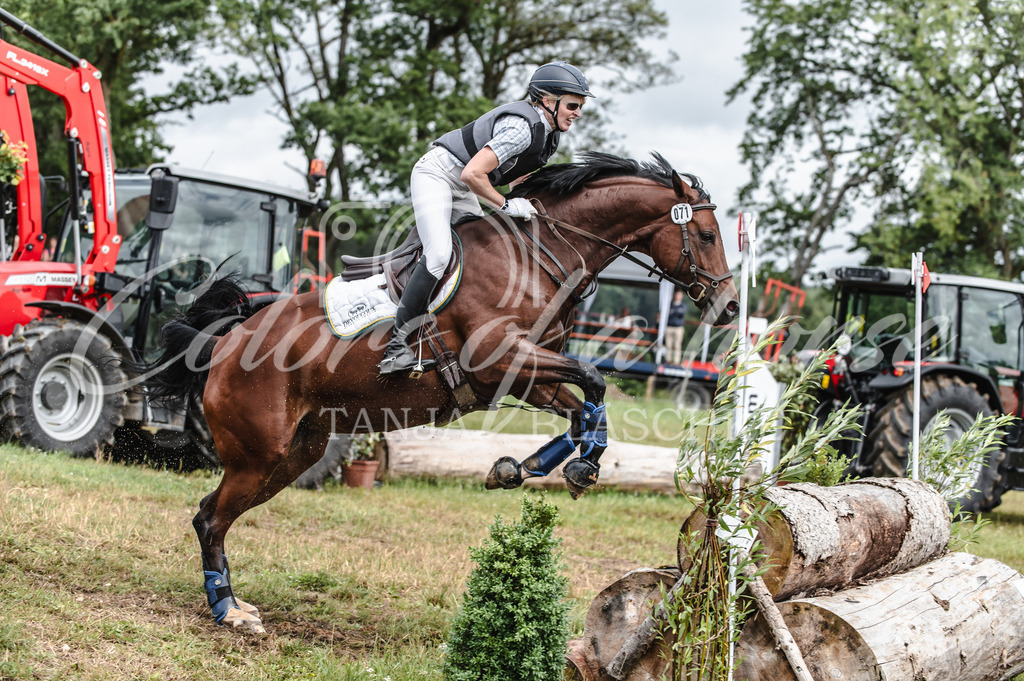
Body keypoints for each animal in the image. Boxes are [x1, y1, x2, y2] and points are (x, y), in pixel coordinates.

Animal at [146, 151, 737, 630]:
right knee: (209, 518)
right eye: (708, 236)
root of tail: (225, 341)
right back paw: (228, 611)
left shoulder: (524, 374)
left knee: (215, 514)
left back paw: (233, 603)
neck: (539, 254)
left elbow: (582, 409)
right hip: (258, 453)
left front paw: (526, 469)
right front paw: (579, 465)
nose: (729, 306)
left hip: (295, 453)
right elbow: (594, 381)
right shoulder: (499, 353)